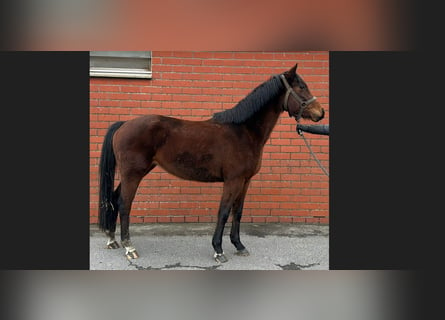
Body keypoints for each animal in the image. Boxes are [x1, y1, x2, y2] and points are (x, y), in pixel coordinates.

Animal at [99, 63, 324, 262]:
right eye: (301, 87)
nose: (320, 113)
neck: (244, 131)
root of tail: (124, 124)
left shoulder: (245, 181)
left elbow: (237, 212)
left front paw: (239, 245)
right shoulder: (233, 180)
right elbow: (223, 212)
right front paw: (218, 250)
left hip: (135, 172)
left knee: (114, 198)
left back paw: (112, 240)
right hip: (133, 173)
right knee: (124, 203)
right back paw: (129, 247)